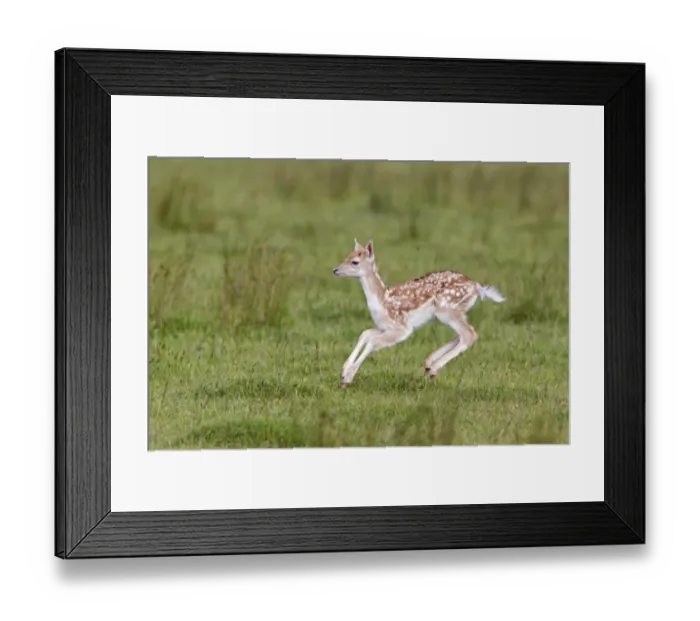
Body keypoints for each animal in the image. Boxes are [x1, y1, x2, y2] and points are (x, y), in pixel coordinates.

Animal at [333, 239, 505, 388]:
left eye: (355, 262)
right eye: (347, 256)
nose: (335, 270)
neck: (382, 300)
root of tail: (476, 286)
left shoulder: (402, 328)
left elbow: (373, 341)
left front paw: (347, 378)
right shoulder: (385, 326)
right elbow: (365, 334)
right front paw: (344, 371)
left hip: (447, 309)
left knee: (469, 334)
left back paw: (433, 368)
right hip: (452, 312)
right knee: (461, 334)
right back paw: (429, 364)